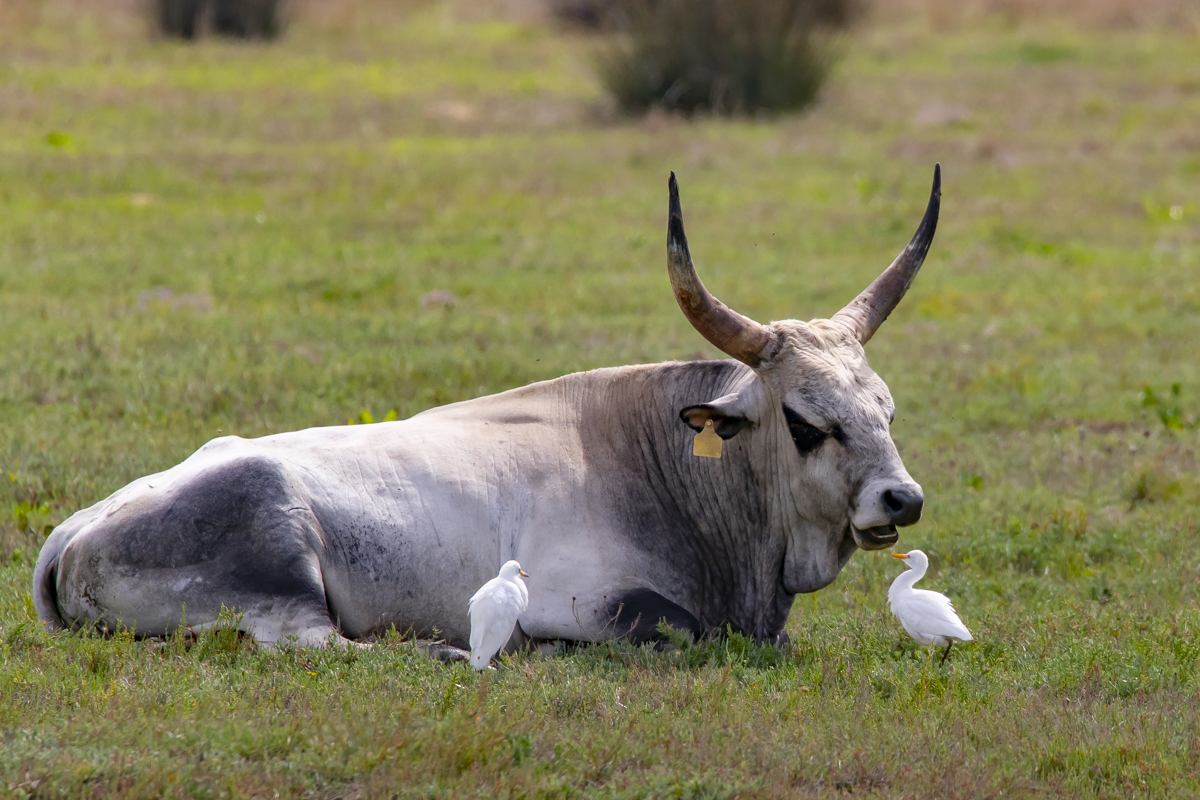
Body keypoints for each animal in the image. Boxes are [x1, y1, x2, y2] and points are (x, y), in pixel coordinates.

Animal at [32, 167, 940, 652]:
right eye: (805, 422)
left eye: (888, 410)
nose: (903, 499)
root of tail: (74, 533)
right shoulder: (588, 604)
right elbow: (679, 627)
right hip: (279, 566)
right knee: (318, 646)